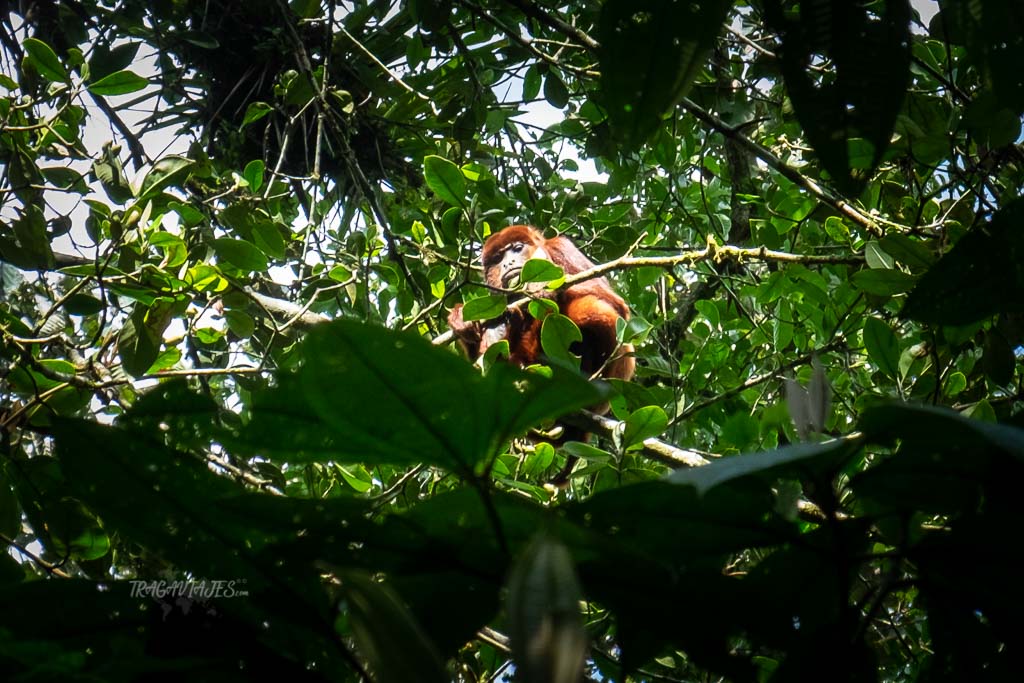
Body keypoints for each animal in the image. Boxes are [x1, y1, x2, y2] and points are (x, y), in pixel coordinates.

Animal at [448, 225, 630, 481]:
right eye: (498, 258)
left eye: (517, 248)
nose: (508, 263)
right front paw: (460, 318)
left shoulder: (562, 248)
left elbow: (614, 303)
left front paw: (539, 288)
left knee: (591, 308)